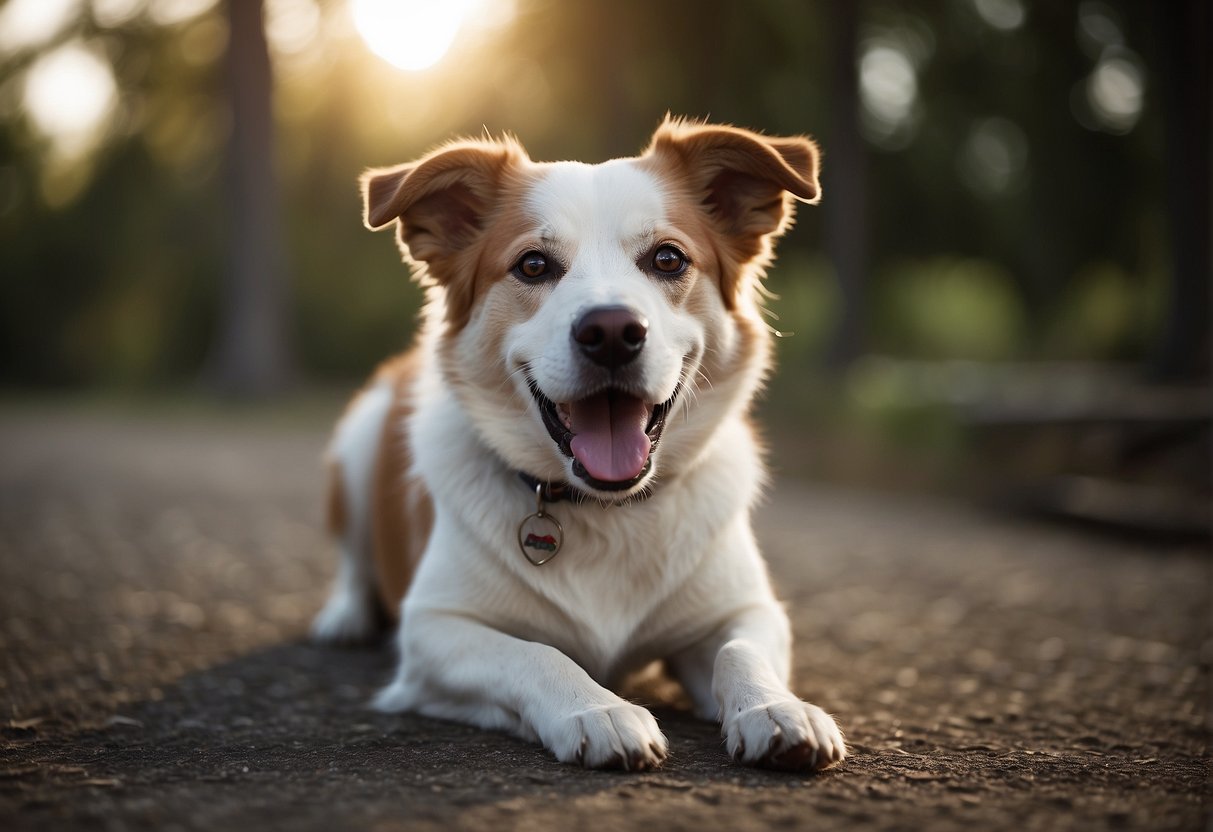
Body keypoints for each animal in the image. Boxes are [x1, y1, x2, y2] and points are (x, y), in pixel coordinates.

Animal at [310, 118, 844, 776]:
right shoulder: (434, 629)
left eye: (668, 258)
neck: (605, 510)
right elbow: (534, 653)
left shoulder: (743, 609)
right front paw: (599, 711)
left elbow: (741, 650)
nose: (612, 331)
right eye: (534, 265)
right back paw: (345, 616)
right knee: (354, 560)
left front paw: (776, 708)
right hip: (359, 443)